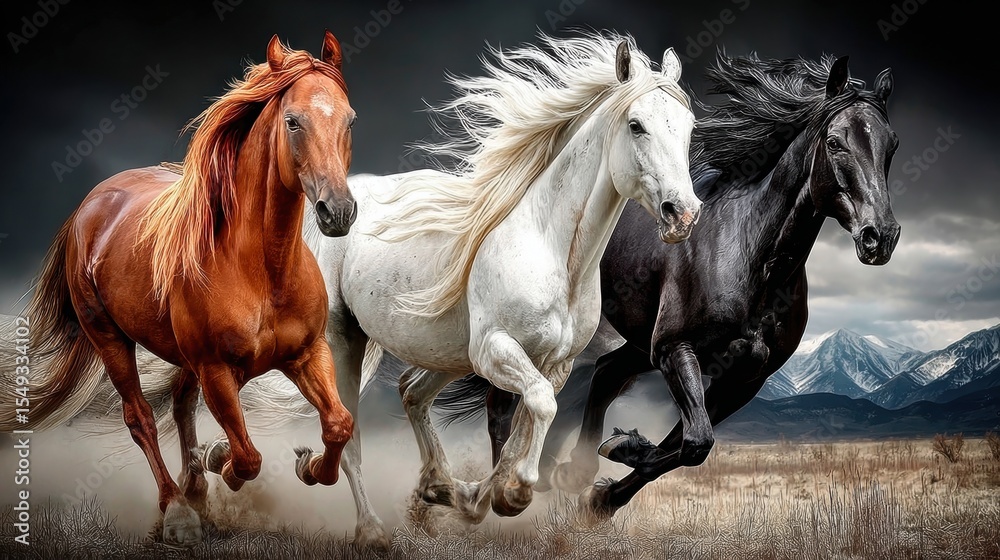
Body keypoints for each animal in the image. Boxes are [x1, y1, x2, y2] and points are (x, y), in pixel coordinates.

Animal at [0, 32, 358, 546]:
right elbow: (247, 457)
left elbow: (338, 424)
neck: (262, 272)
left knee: (181, 405)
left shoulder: (307, 353)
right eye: (292, 121)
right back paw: (178, 510)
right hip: (110, 339)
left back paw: (196, 491)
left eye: (349, 119)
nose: (338, 211)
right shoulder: (218, 371)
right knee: (142, 419)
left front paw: (307, 467)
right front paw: (217, 461)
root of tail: (92, 204)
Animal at [435, 52, 901, 519]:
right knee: (508, 405)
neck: (753, 259)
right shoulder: (674, 348)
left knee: (602, 375)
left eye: (891, 144)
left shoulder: (745, 378)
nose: (880, 237)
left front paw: (603, 489)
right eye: (835, 143)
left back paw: (562, 468)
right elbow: (695, 441)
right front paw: (620, 450)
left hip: (632, 344)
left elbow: (689, 442)